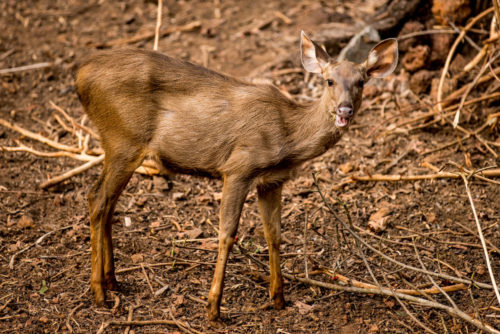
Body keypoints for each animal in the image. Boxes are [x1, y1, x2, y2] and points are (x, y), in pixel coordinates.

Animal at [77, 31, 398, 324]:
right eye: (329, 80)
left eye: (361, 81)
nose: (345, 110)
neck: (288, 136)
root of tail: (80, 76)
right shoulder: (239, 168)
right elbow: (226, 234)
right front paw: (213, 309)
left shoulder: (272, 180)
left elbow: (274, 234)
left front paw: (278, 299)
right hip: (123, 139)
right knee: (97, 197)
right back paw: (99, 293)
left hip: (121, 145)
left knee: (107, 203)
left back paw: (113, 282)